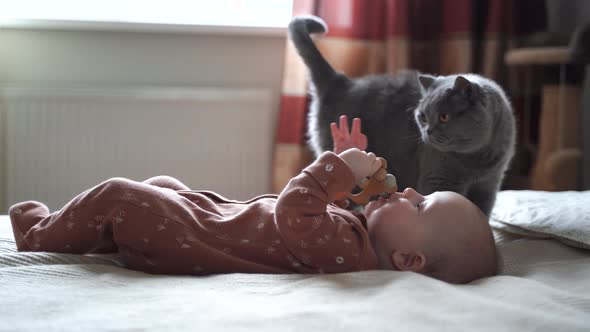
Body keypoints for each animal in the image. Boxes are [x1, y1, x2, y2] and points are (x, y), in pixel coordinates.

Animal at [292, 15, 520, 215]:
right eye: (423, 117)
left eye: (444, 117)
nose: (428, 132)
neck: (477, 160)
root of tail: (340, 81)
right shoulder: (438, 178)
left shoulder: (489, 185)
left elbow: (483, 212)